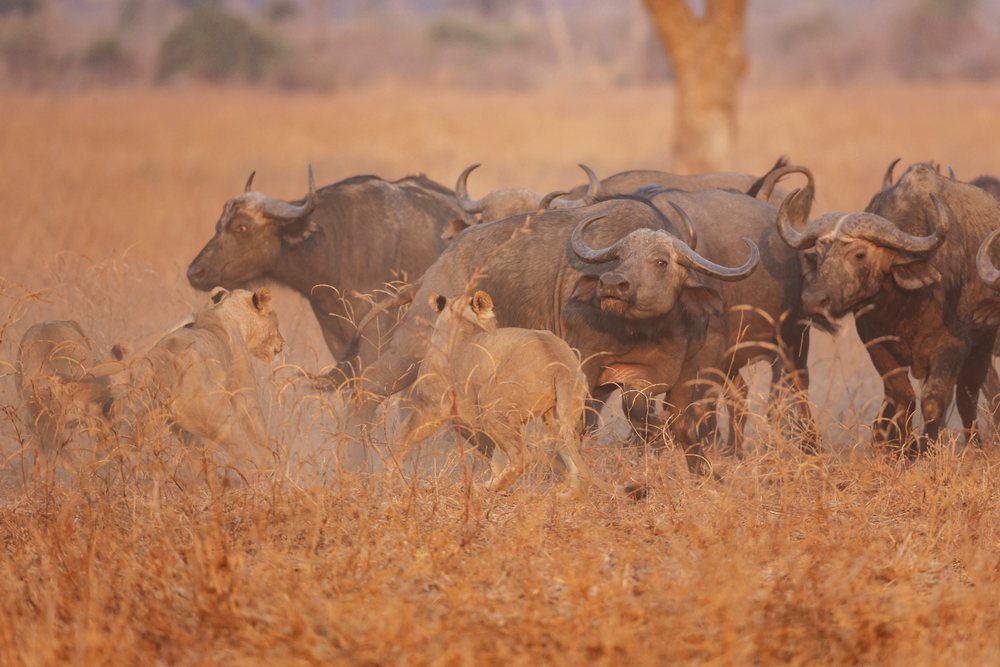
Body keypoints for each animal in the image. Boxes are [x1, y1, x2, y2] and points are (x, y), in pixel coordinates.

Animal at [395, 289, 642, 499]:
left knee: (522, 457)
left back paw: (488, 488)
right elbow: (497, 456)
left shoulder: (432, 406)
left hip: (492, 406)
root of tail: (557, 359)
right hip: (558, 416)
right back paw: (563, 495)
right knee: (569, 456)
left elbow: (403, 437)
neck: (461, 319)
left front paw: (390, 475)